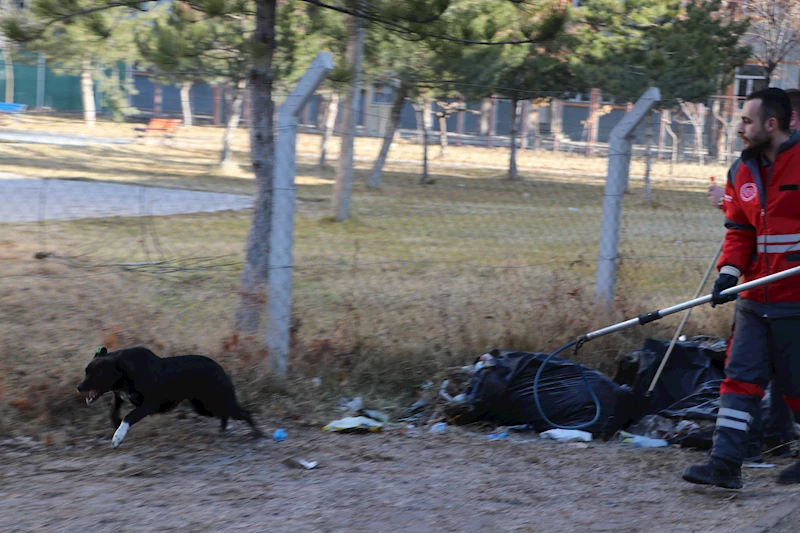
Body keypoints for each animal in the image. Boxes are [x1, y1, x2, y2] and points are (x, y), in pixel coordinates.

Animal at [77, 344, 260, 444]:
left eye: (98, 373)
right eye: (86, 372)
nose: (79, 387)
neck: (126, 371)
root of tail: (220, 369)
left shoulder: (148, 405)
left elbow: (128, 417)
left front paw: (118, 437)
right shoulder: (120, 396)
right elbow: (113, 413)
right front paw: (117, 428)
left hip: (215, 402)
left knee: (244, 412)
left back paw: (258, 435)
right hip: (203, 406)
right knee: (225, 415)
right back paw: (223, 431)